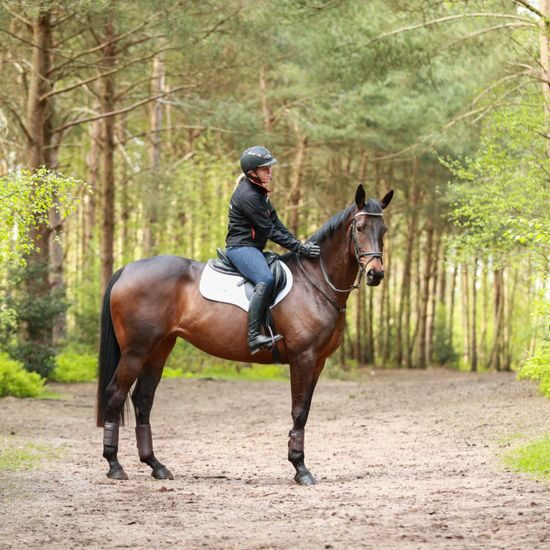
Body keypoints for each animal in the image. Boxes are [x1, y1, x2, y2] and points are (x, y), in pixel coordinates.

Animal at [97, 185, 394, 488]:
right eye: (359, 227)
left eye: (383, 230)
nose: (376, 274)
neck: (316, 282)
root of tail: (127, 269)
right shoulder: (304, 357)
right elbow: (299, 410)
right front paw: (300, 468)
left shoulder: (318, 361)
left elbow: (305, 409)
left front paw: (299, 464)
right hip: (136, 351)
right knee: (115, 394)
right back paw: (114, 464)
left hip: (159, 350)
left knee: (143, 399)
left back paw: (155, 465)